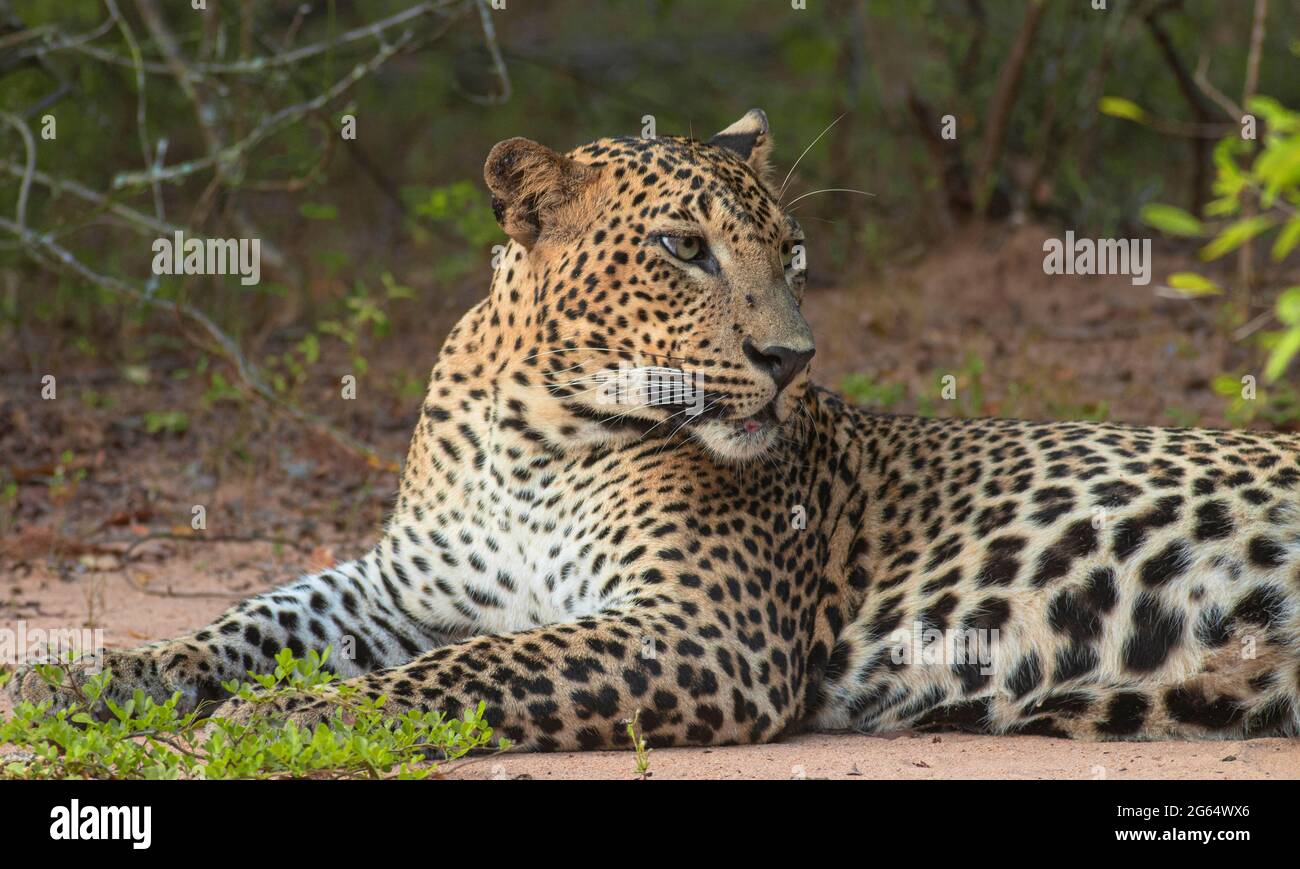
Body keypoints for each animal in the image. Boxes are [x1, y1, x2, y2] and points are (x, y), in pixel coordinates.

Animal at [7, 108, 1300, 749]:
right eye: (683, 247)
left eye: (791, 253)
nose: (790, 359)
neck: (529, 432)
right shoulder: (400, 585)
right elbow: (248, 619)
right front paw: (91, 679)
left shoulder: (707, 629)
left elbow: (474, 667)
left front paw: (296, 717)